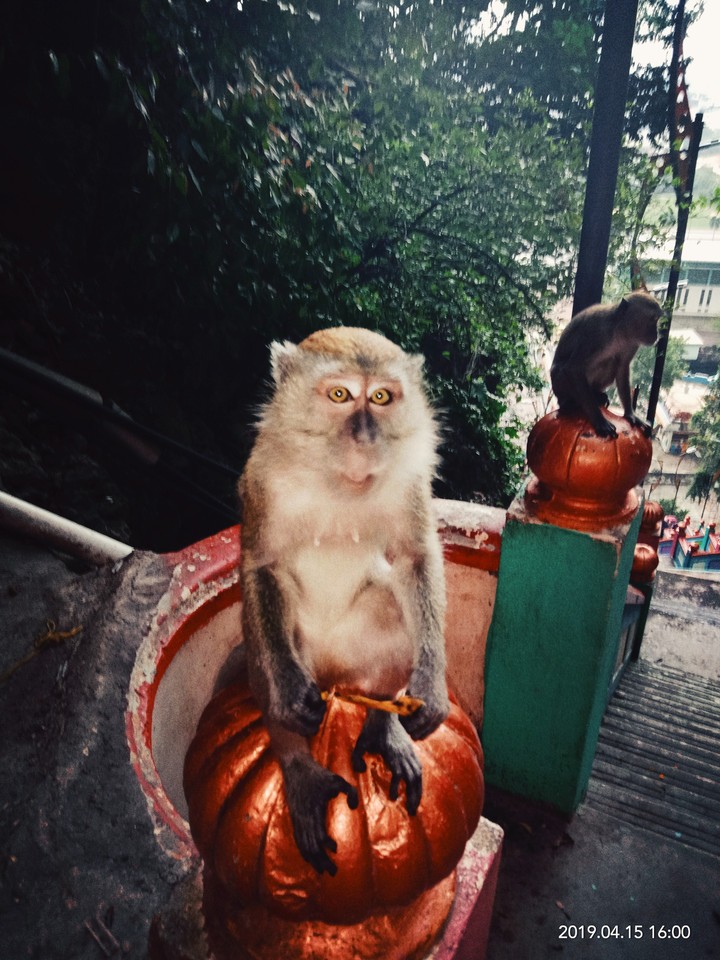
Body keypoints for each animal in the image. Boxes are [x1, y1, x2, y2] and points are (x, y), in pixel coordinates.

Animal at [238, 326, 449, 876]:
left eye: (381, 398)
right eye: (339, 395)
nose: (365, 438)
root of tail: (335, 680)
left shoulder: (410, 484)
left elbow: (415, 559)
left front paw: (431, 681)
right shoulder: (262, 477)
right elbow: (262, 564)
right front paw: (288, 699)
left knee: (393, 613)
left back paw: (381, 724)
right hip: (304, 660)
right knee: (264, 644)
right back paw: (301, 769)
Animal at [550, 291, 662, 438]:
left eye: (657, 320)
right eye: (653, 319)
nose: (657, 333)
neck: (619, 330)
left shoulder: (632, 343)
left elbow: (622, 368)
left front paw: (630, 414)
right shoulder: (596, 333)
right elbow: (573, 368)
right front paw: (599, 420)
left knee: (611, 362)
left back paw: (597, 394)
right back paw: (570, 402)